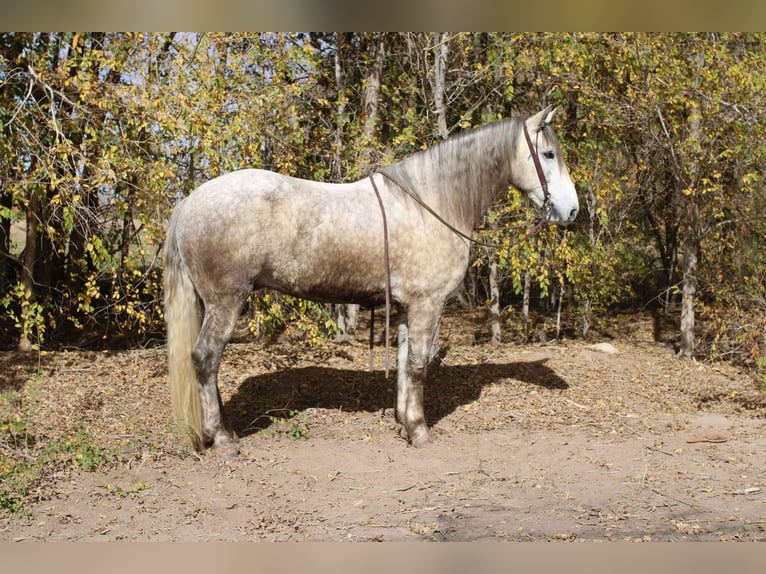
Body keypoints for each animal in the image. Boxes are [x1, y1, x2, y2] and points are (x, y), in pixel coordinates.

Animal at [165, 106, 580, 456]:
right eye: (548, 155)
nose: (573, 210)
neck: (432, 202)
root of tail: (190, 202)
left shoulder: (406, 307)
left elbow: (403, 362)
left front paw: (404, 423)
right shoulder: (428, 304)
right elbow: (419, 365)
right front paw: (420, 430)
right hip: (226, 302)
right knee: (205, 359)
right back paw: (222, 438)